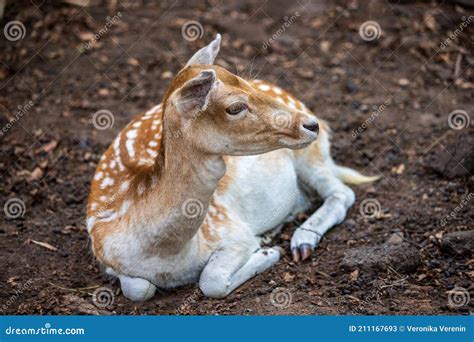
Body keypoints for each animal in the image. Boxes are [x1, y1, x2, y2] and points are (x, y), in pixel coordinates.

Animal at [87, 34, 380, 300]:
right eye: (235, 107)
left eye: (245, 82)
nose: (310, 124)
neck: (165, 257)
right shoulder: (107, 261)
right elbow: (138, 288)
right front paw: (266, 246)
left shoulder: (232, 231)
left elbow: (211, 281)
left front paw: (267, 251)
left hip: (310, 155)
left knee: (342, 192)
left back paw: (301, 240)